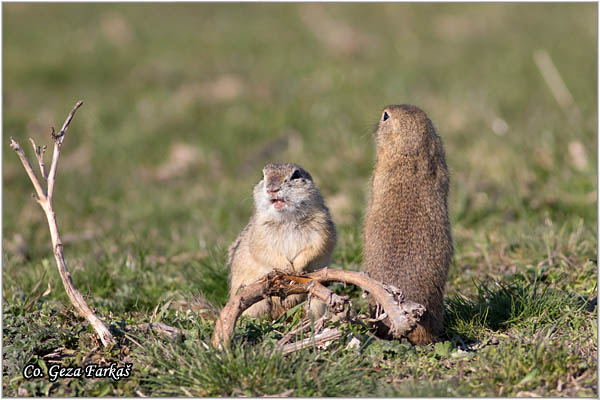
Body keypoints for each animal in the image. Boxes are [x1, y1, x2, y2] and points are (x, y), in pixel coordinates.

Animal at [229, 162, 336, 318]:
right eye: (263, 176)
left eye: (296, 175)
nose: (272, 189)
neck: (287, 219)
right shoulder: (259, 235)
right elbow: (264, 252)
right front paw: (287, 268)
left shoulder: (322, 229)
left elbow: (316, 248)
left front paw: (296, 268)